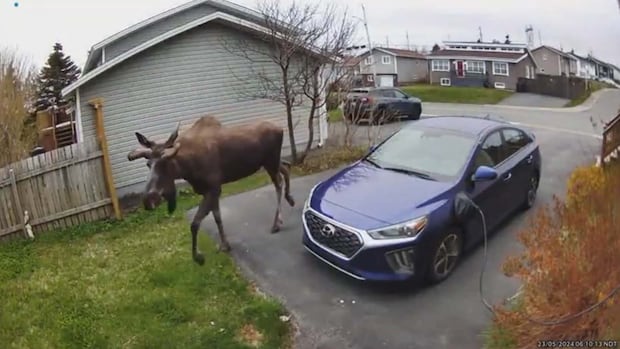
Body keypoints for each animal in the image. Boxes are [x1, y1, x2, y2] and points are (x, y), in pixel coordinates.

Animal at [126, 115, 296, 264]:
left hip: (270, 161)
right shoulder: (210, 190)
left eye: (165, 163)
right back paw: (290, 199)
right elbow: (217, 218)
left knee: (279, 183)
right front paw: (225, 245)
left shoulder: (214, 188)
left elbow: (195, 224)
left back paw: (277, 222)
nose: (149, 200)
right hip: (269, 162)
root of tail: (280, 129)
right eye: (148, 164)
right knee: (286, 167)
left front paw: (198, 257)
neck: (187, 167)